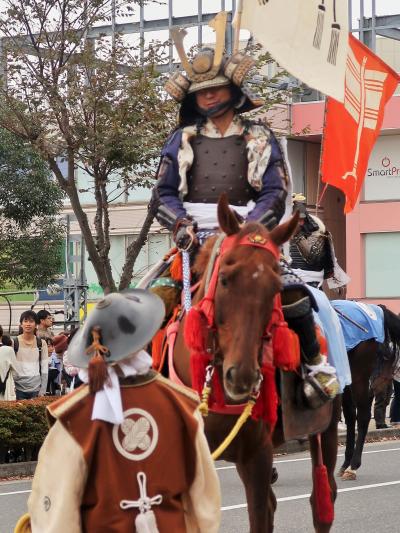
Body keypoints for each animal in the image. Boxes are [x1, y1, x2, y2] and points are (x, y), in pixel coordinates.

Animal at [173, 197, 340, 528]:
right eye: (224, 279)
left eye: (274, 289)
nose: (241, 376)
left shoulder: (257, 456)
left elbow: (260, 514)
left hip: (327, 427)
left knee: (323, 500)